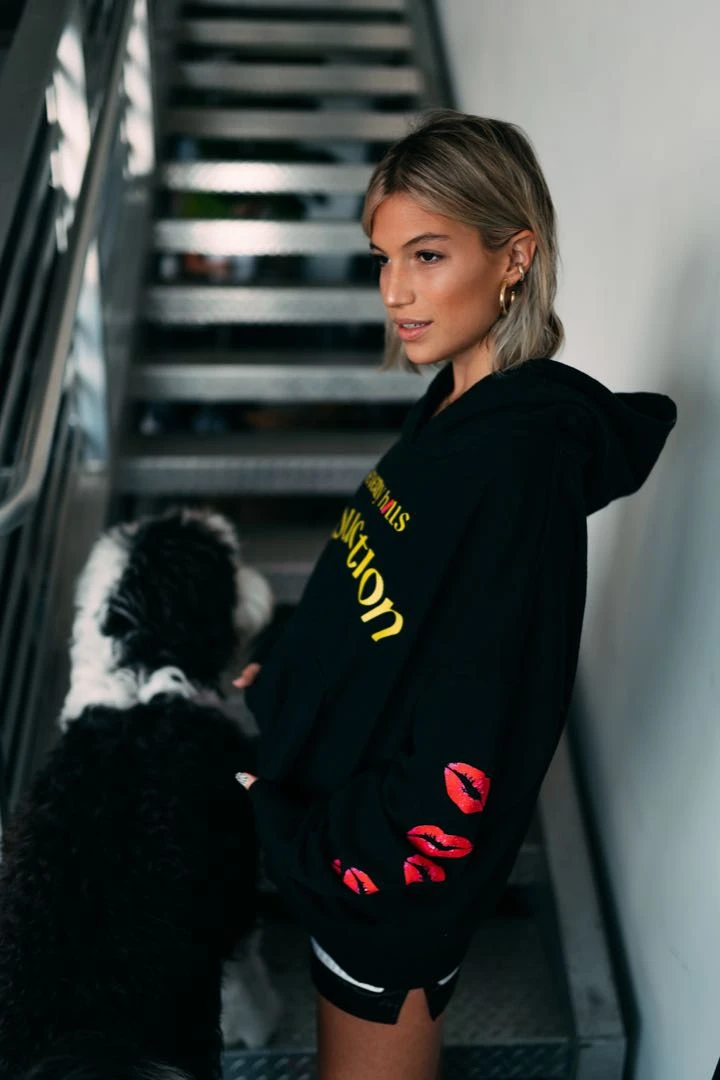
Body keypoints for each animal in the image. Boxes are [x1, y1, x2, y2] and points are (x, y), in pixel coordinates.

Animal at [0, 508, 281, 1080]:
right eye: (228, 561)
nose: (264, 590)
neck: (139, 683)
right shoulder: (232, 877)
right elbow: (245, 972)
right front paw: (260, 1023)